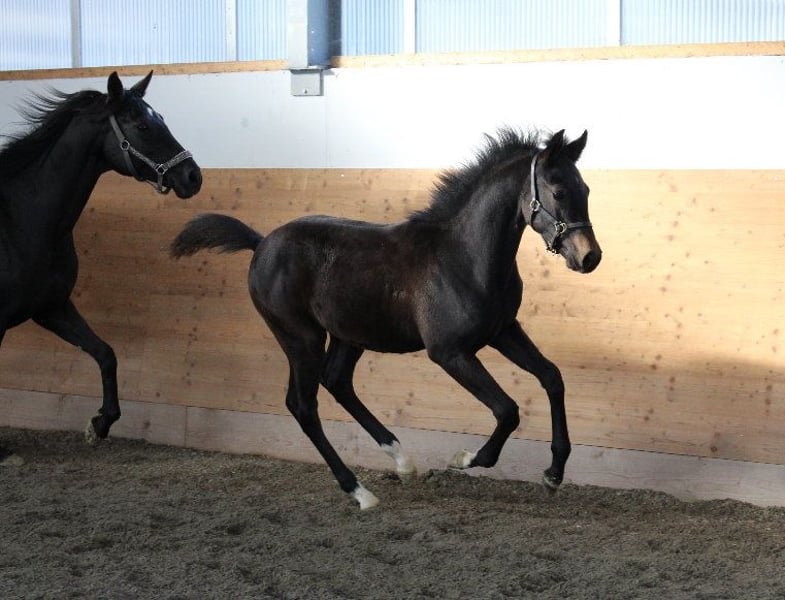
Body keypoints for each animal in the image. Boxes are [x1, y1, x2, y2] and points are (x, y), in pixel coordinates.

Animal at [0, 71, 202, 465]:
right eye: (142, 125)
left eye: (162, 119)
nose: (193, 176)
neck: (21, 219)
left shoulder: (51, 307)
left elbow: (105, 353)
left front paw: (101, 423)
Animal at [171, 128, 600, 509]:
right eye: (558, 191)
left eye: (586, 190)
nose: (589, 257)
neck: (465, 256)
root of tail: (260, 243)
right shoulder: (450, 352)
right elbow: (507, 410)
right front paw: (465, 459)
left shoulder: (503, 331)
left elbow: (552, 378)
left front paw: (554, 474)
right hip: (300, 337)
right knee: (303, 404)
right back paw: (360, 492)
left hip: (347, 336)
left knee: (337, 382)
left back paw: (402, 462)